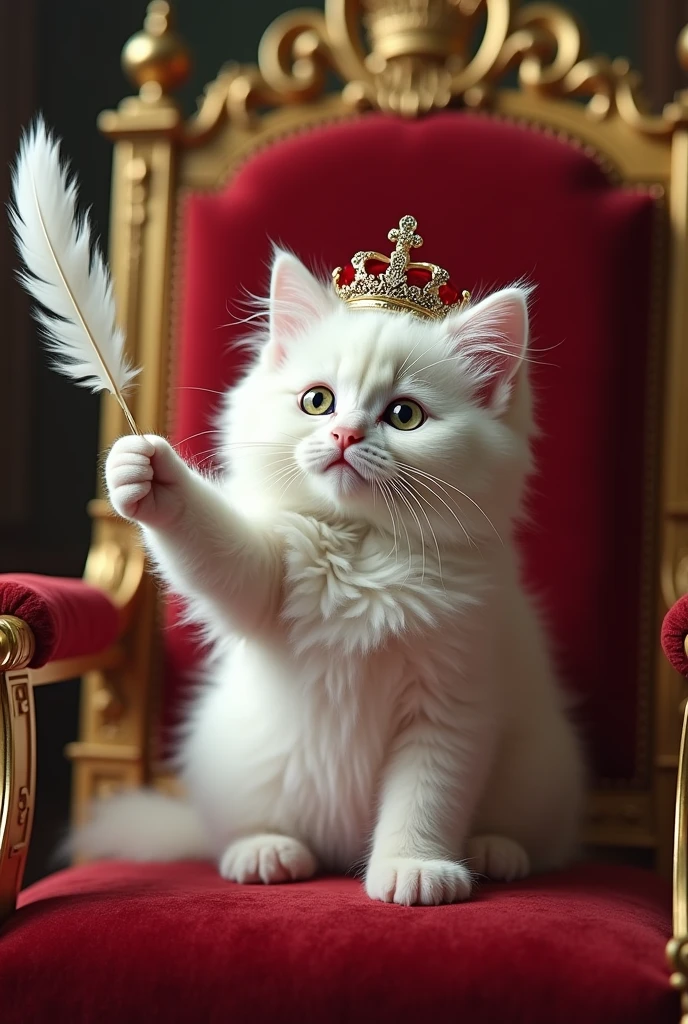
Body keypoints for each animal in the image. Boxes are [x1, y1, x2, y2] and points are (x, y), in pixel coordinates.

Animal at [81, 251, 585, 909]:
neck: (365, 549)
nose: (345, 435)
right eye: (317, 402)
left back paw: (495, 851)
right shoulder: (264, 584)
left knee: (538, 838)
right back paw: (265, 850)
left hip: (541, 769)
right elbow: (216, 552)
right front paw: (147, 470)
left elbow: (425, 798)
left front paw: (414, 866)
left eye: (404, 415)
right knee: (236, 831)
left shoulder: (452, 704)